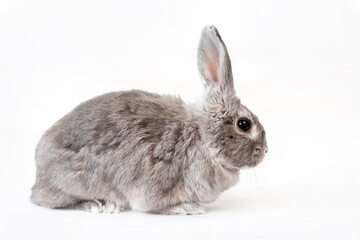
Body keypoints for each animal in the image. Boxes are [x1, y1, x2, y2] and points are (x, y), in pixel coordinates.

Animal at [31, 25, 268, 215]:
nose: (265, 150)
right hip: (74, 183)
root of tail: (38, 174)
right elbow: (157, 206)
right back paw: (100, 205)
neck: (202, 135)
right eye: (244, 124)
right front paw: (187, 208)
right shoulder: (154, 190)